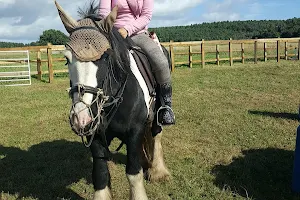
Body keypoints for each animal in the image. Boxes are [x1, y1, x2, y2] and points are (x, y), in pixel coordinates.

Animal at [54, 1, 171, 200]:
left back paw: (158, 172)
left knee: (156, 135)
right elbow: (100, 175)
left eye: (106, 56)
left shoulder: (134, 131)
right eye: (66, 58)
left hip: (157, 115)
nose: (81, 117)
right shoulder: (95, 135)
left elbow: (133, 173)